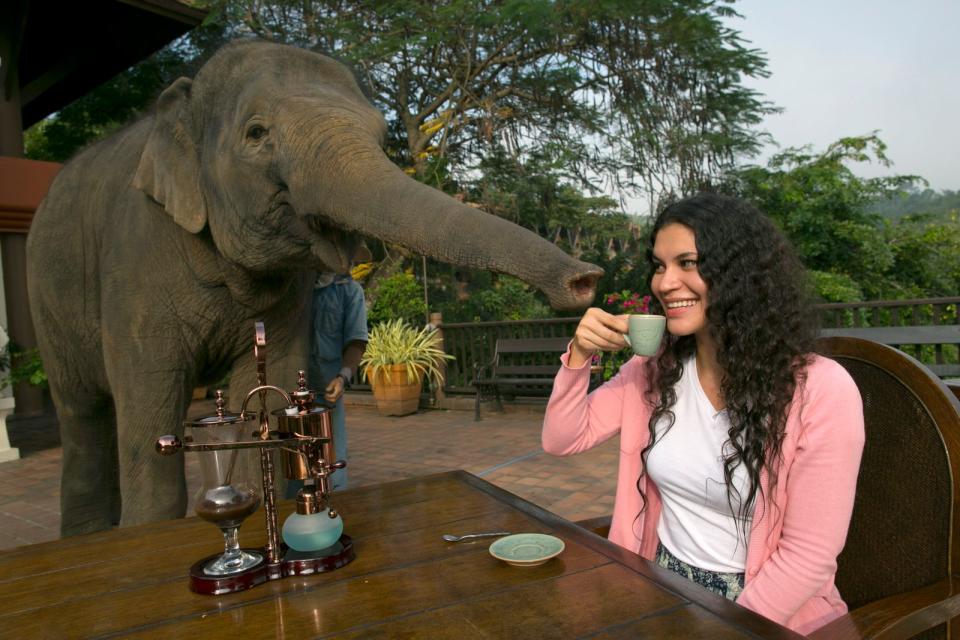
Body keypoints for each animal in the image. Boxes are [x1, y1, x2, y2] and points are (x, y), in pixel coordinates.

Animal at [26, 38, 600, 536]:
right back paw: (84, 536)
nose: (586, 279)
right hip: (47, 304)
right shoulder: (136, 257)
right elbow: (150, 397)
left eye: (380, 135)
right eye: (257, 133)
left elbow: (267, 388)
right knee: (82, 417)